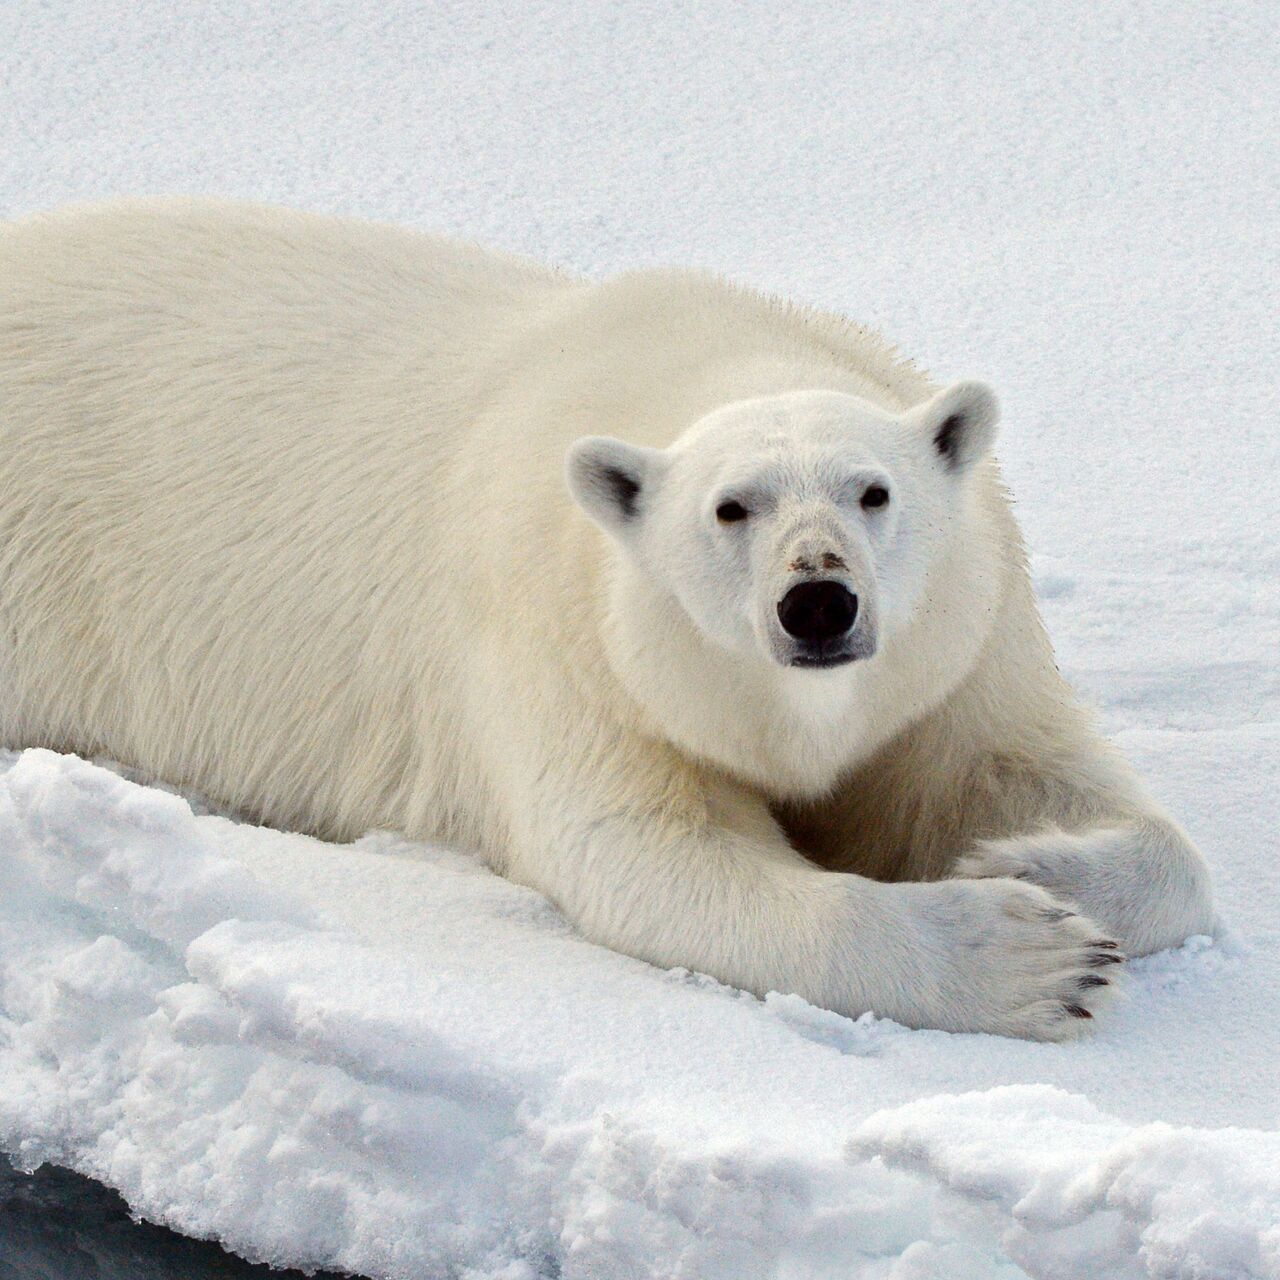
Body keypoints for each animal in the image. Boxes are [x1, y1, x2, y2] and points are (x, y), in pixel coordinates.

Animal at [0, 199, 1218, 1039]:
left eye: (873, 491)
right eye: (730, 505)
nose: (817, 601)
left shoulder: (957, 652)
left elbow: (1032, 777)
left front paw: (1024, 862)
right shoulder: (569, 644)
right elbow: (646, 855)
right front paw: (1027, 956)